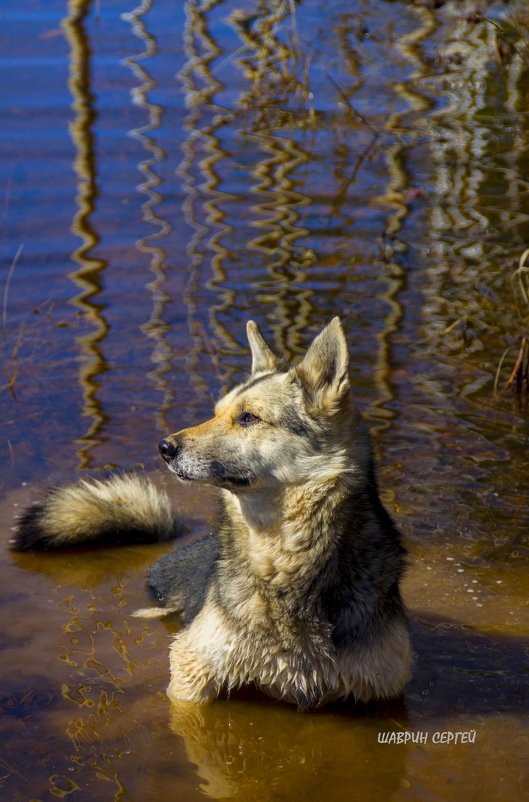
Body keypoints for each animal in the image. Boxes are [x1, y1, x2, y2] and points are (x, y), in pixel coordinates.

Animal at [11, 318, 408, 708]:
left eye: (248, 417)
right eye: (217, 413)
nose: (164, 448)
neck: (284, 566)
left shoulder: (382, 687)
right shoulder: (192, 669)